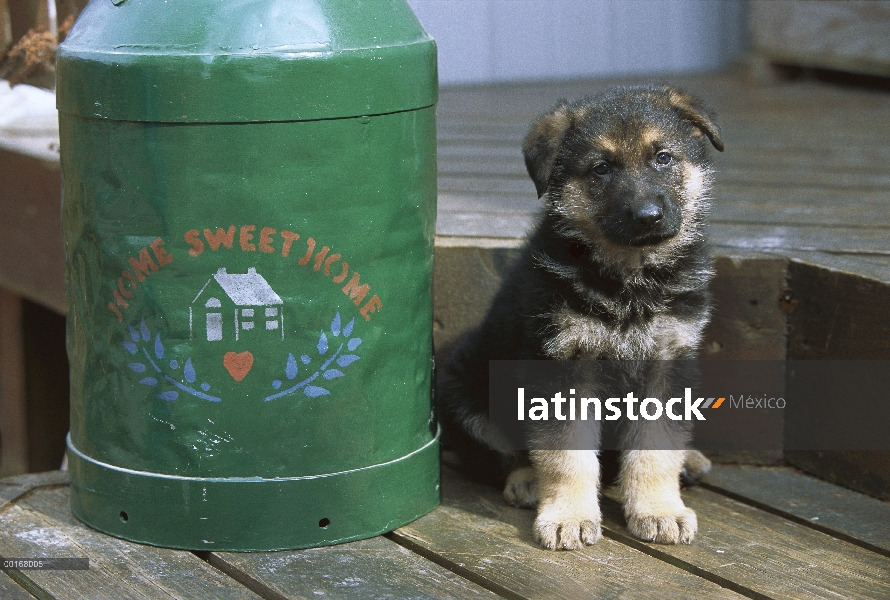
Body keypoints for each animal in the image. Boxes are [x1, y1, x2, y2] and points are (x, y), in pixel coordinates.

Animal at [438, 83, 720, 548]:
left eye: (663, 158)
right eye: (600, 169)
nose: (648, 216)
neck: (629, 280)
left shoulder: (668, 362)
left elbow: (656, 447)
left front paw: (659, 509)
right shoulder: (563, 366)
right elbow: (567, 454)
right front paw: (568, 516)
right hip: (463, 387)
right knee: (495, 454)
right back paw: (526, 481)